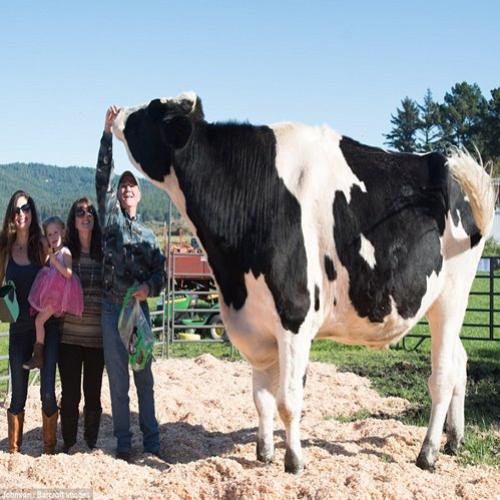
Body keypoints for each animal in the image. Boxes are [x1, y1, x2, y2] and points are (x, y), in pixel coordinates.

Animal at [113, 93, 496, 472]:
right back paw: (454, 440)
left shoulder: (294, 317)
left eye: (151, 110)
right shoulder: (256, 321)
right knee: (460, 362)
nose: (115, 110)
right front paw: (264, 453)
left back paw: (428, 453)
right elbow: (261, 397)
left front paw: (293, 461)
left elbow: (288, 399)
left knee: (442, 376)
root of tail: (444, 164)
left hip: (451, 298)